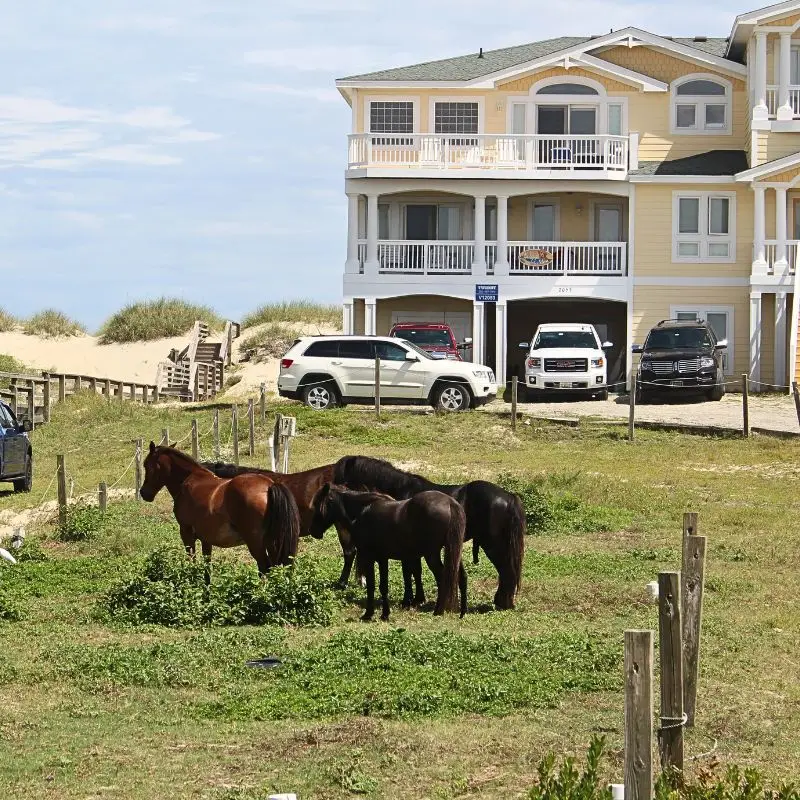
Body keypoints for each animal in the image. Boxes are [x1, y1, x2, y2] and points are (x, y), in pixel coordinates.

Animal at [140, 443, 301, 576]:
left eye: (146, 465)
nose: (143, 493)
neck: (189, 480)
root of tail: (269, 485)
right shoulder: (205, 539)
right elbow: (206, 569)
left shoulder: (186, 533)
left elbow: (192, 562)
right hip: (272, 543)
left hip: (256, 543)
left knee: (264, 568)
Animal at [310, 483, 467, 620]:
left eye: (317, 504)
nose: (313, 531)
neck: (363, 511)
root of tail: (450, 504)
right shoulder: (382, 558)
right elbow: (383, 586)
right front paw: (385, 614)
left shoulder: (369, 557)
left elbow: (372, 585)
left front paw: (368, 614)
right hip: (453, 552)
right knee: (460, 576)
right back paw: (462, 611)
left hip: (432, 555)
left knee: (444, 578)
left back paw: (438, 610)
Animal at [333, 456, 525, 610]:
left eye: (342, 480)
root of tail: (509, 497)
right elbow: (415, 571)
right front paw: (417, 599)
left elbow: (409, 571)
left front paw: (410, 600)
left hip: (493, 544)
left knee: (506, 570)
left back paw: (502, 603)